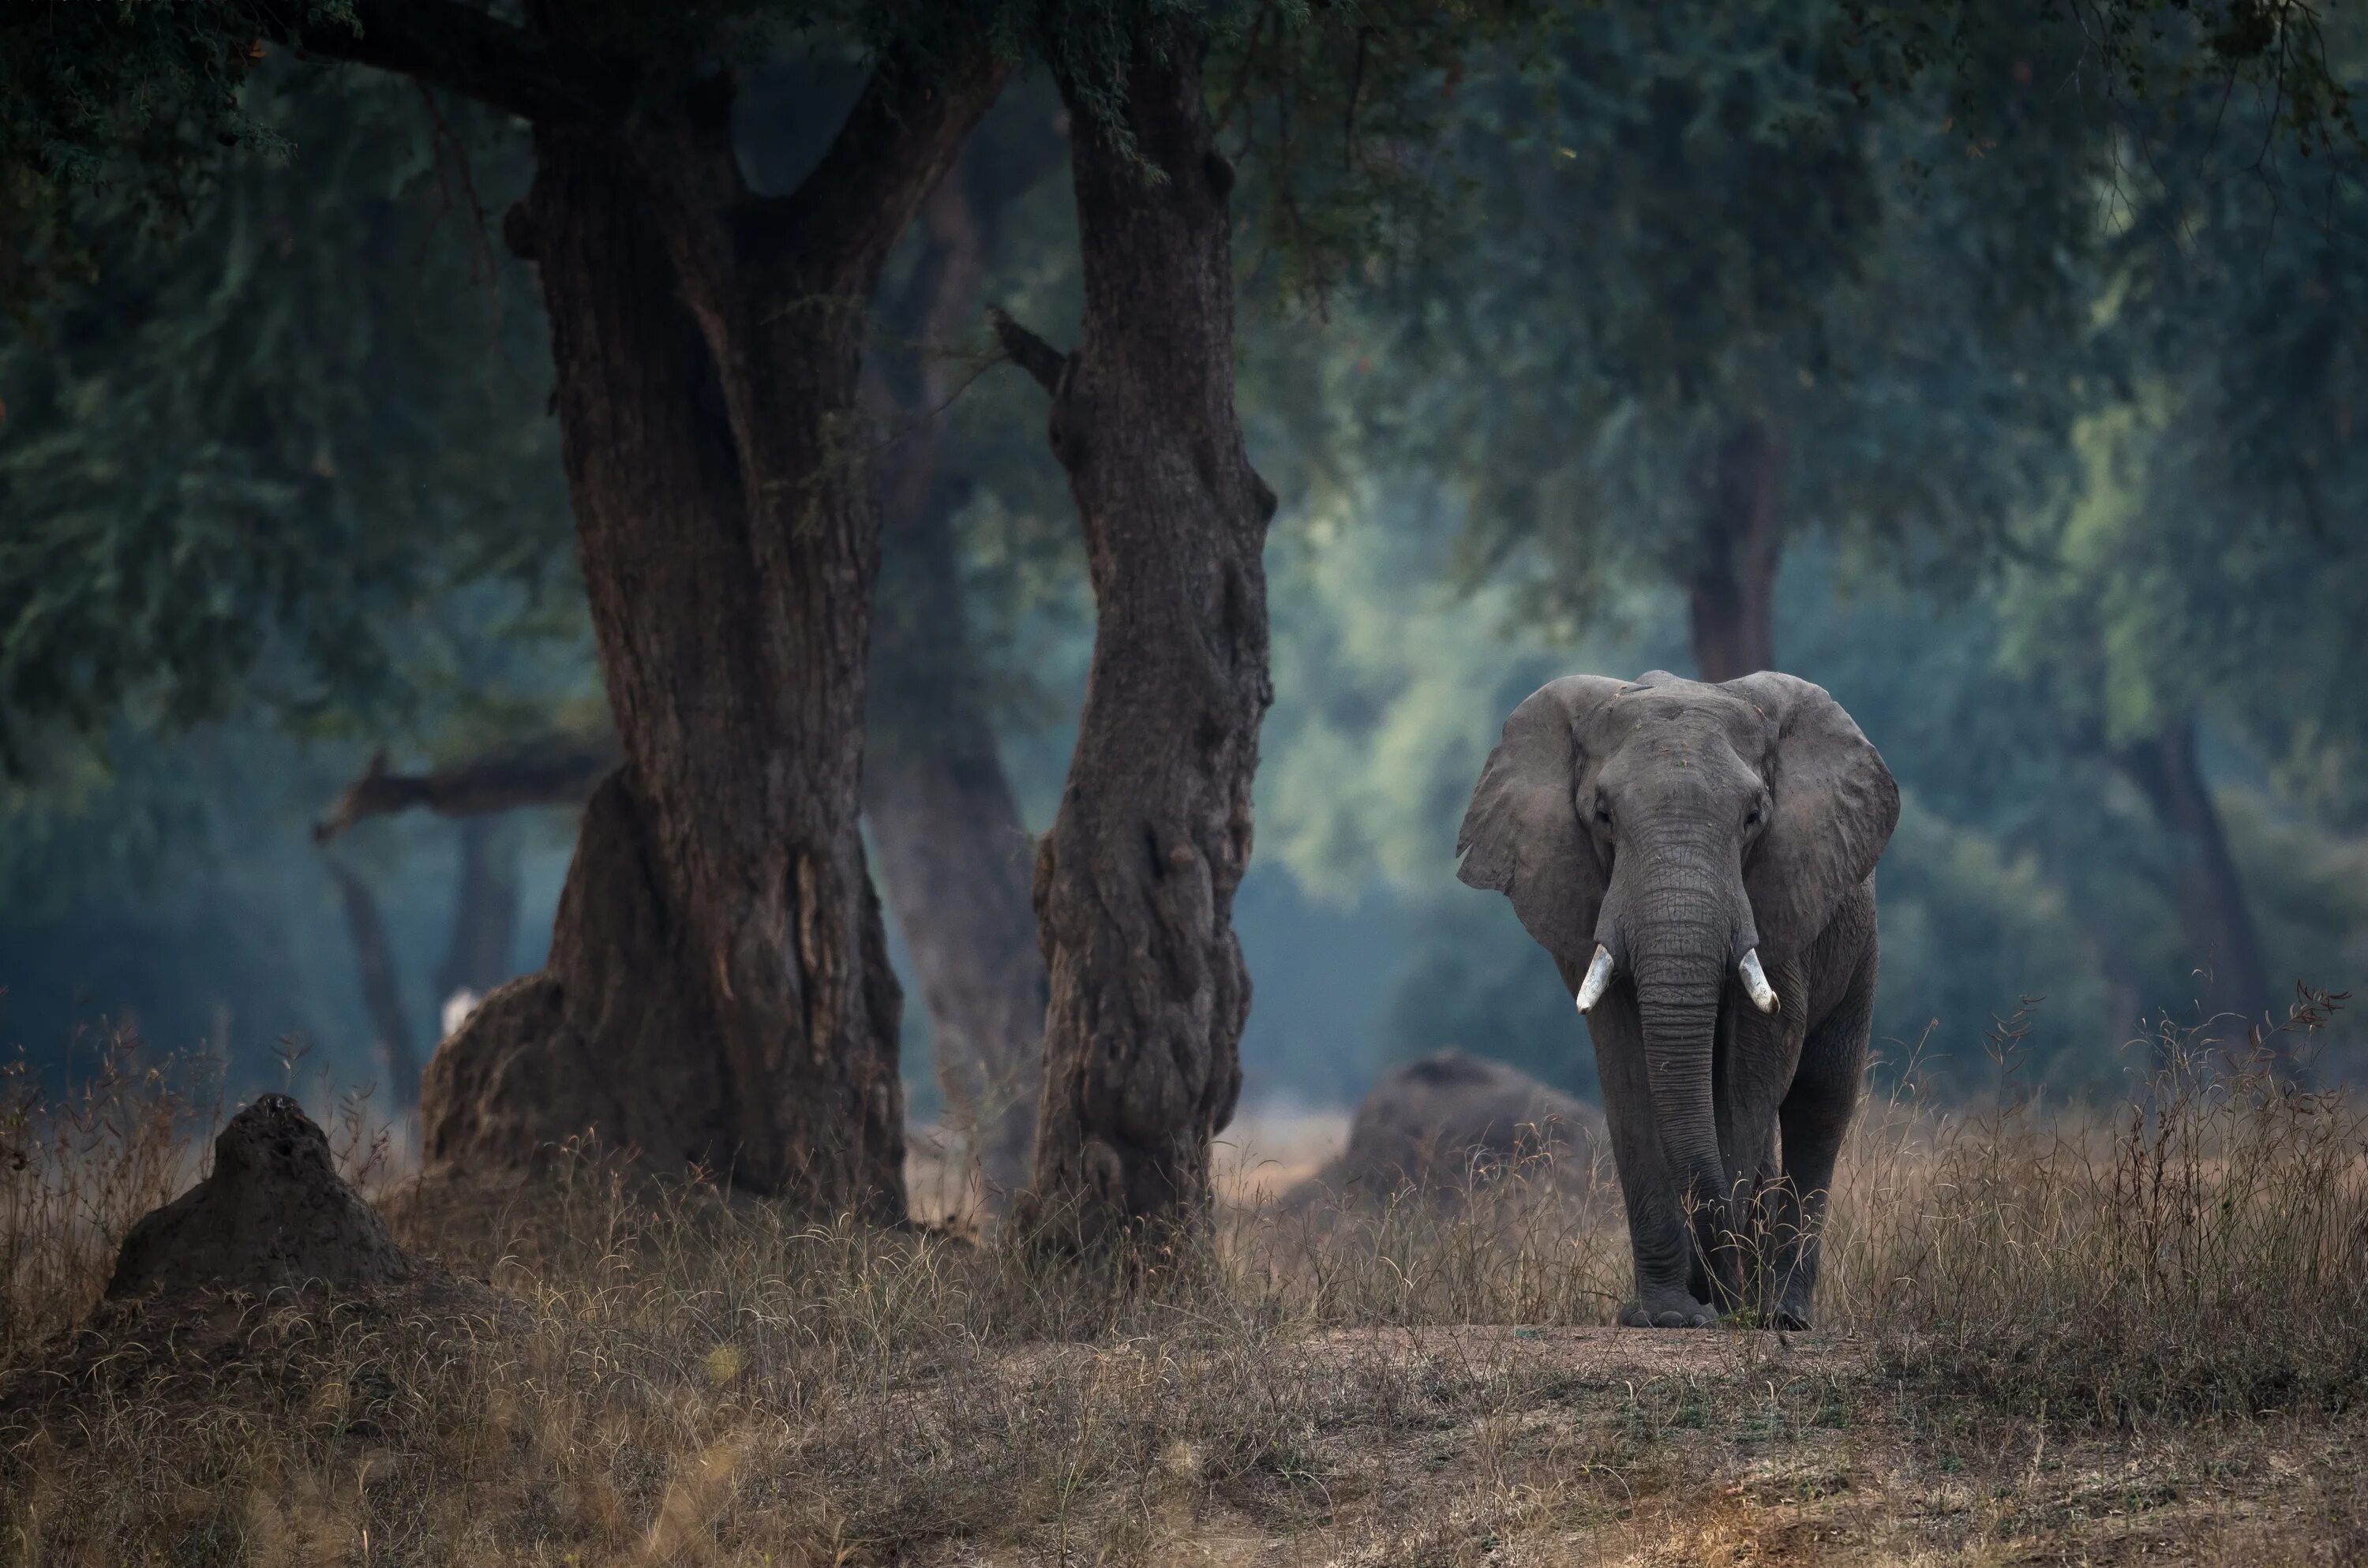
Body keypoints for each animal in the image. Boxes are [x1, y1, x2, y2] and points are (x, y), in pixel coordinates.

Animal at [1449, 668, 1894, 1335]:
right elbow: (1628, 1070)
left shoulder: (1784, 892)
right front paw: (1667, 1314)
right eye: (1603, 815)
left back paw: (1780, 1314)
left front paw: (1720, 1298)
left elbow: (1752, 1070)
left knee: (1820, 1098)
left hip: (1857, 937)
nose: (1714, 1294)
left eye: (1753, 817)